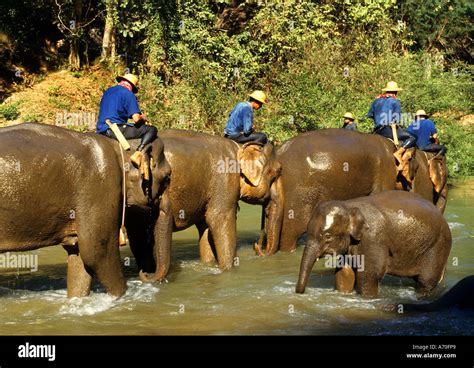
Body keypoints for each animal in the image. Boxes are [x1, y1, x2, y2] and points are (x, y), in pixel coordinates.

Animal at [0, 123, 170, 300]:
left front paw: (76, 300)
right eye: (167, 178)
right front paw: (120, 299)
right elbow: (97, 253)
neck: (116, 145)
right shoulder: (100, 186)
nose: (145, 273)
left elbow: (79, 256)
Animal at [133, 129, 282, 282]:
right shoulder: (225, 179)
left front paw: (209, 265)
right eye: (278, 171)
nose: (257, 246)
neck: (238, 147)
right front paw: (229, 272)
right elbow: (218, 220)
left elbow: (205, 226)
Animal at [296, 191, 452, 298]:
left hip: (438, 246)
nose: (300, 293)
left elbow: (369, 275)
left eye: (327, 236)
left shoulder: (373, 239)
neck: (348, 206)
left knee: (426, 281)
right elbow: (345, 274)